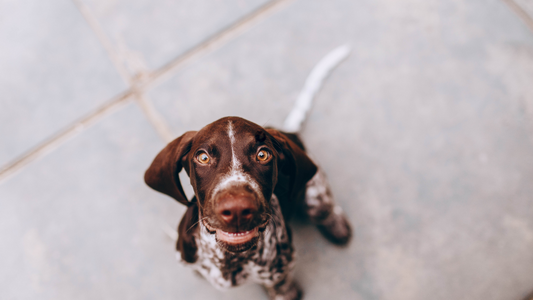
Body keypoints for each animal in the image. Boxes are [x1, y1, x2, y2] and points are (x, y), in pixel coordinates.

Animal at [145, 115, 352, 300]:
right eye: (203, 157)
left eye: (263, 154)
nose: (237, 209)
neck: (229, 259)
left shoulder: (281, 272)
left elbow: (282, 287)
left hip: (316, 197)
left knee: (325, 209)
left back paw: (337, 225)